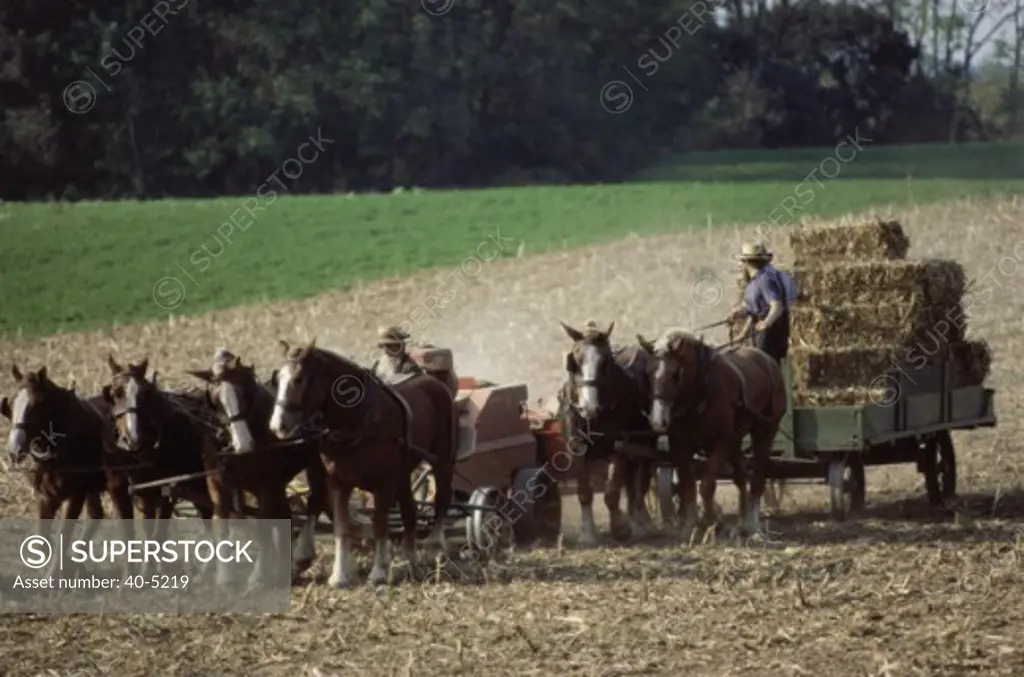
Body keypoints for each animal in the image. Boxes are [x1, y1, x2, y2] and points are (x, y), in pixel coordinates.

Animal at [1, 362, 135, 573]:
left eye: (36, 404)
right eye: (12, 402)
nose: (14, 450)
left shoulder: (75, 495)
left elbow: (63, 534)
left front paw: (55, 574)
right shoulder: (44, 496)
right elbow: (43, 537)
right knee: (96, 516)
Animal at [184, 348, 327, 577]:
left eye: (243, 392)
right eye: (216, 399)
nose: (243, 443)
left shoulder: (265, 486)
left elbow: (263, 526)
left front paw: (258, 574)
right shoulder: (217, 484)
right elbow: (221, 523)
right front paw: (225, 576)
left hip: (315, 462)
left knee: (316, 499)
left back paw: (300, 558)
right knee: (285, 513)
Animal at [268, 337, 456, 585]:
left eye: (299, 379)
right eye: (278, 378)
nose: (277, 425)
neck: (358, 422)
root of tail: (435, 382)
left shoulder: (383, 485)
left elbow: (379, 526)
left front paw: (378, 572)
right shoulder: (338, 483)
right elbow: (341, 527)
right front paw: (339, 576)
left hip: (442, 460)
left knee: (442, 499)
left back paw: (435, 548)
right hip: (403, 473)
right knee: (410, 510)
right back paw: (410, 561)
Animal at [561, 321, 655, 544]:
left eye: (605, 363)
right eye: (574, 361)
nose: (588, 407)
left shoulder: (619, 446)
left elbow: (612, 492)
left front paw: (620, 527)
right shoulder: (576, 448)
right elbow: (584, 492)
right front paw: (587, 534)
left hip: (645, 444)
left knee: (641, 483)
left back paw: (642, 522)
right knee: (631, 483)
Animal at [634, 325, 786, 540]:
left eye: (675, 374)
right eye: (647, 374)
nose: (657, 421)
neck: (702, 392)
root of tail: (768, 361)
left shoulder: (721, 442)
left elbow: (706, 485)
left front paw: (709, 525)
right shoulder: (681, 446)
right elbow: (688, 487)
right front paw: (690, 528)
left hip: (764, 432)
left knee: (757, 478)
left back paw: (753, 526)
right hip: (736, 442)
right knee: (741, 476)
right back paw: (741, 524)